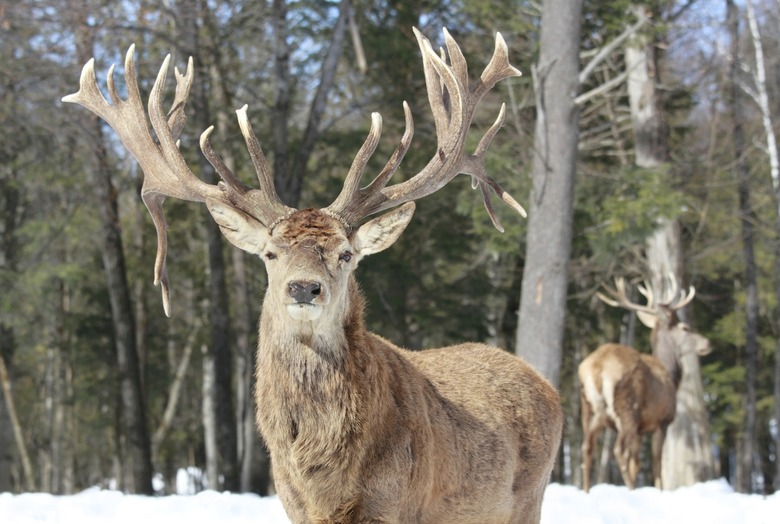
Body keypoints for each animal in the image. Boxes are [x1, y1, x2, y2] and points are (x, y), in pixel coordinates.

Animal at [64, 27, 564, 524]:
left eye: (345, 254)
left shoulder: (395, 504)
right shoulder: (292, 504)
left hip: (529, 498)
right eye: (270, 253)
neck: (320, 475)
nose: (304, 287)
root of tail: (547, 387)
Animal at [580, 276, 712, 494]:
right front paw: (660, 490)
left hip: (589, 410)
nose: (707, 343)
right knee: (618, 450)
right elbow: (656, 462)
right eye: (685, 328)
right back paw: (630, 490)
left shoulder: (640, 429)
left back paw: (587, 490)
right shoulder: (662, 421)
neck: (671, 375)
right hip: (627, 409)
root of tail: (597, 367)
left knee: (587, 448)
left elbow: (636, 462)